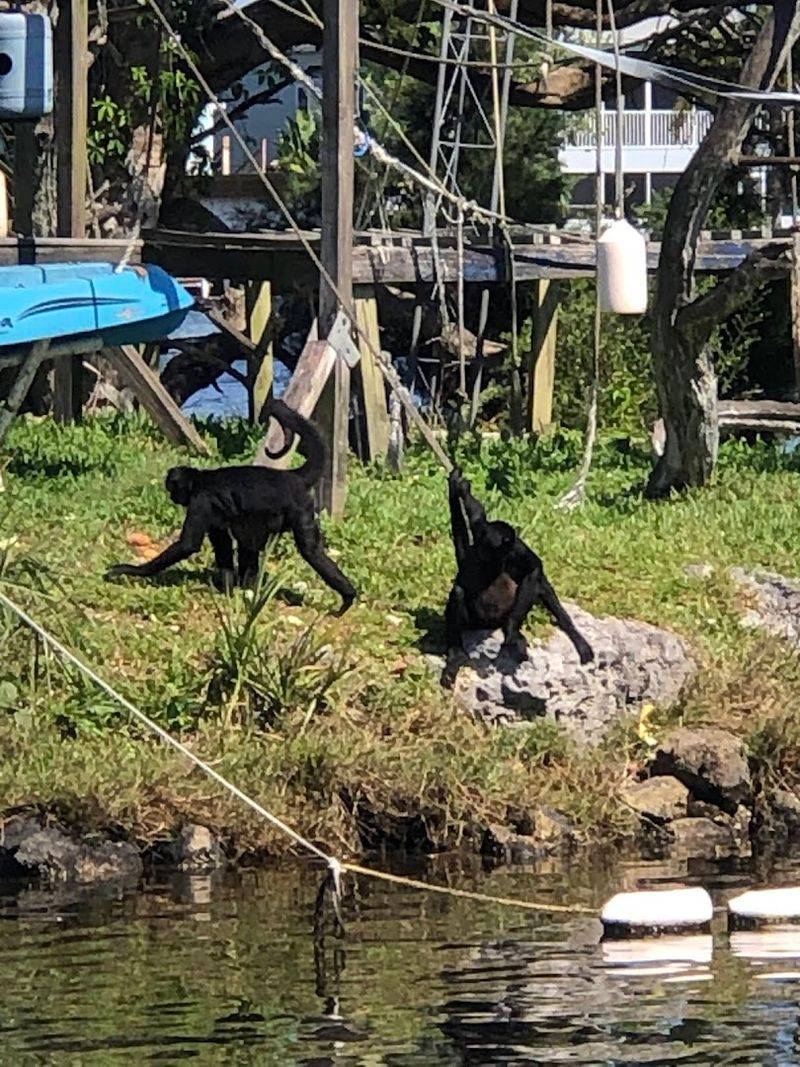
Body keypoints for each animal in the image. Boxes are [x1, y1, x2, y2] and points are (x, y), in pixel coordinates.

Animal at [105, 398, 357, 612]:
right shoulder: (213, 514)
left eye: (172, 489)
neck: (201, 479)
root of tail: (291, 476)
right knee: (249, 542)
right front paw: (226, 588)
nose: (172, 496)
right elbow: (223, 544)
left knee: (308, 550)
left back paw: (347, 596)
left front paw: (129, 570)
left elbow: (188, 545)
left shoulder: (201, 501)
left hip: (300, 508)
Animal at [440, 468, 594, 687]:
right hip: (474, 619)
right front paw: (458, 485)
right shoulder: (481, 529)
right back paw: (457, 654)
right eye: (483, 546)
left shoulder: (516, 548)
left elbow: (534, 569)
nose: (478, 551)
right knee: (460, 592)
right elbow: (475, 511)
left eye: (490, 548)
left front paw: (512, 630)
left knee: (537, 582)